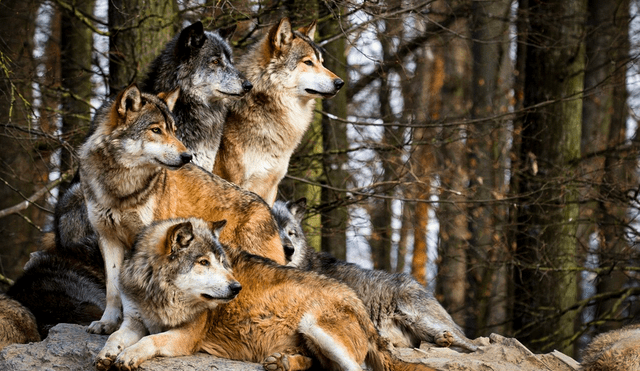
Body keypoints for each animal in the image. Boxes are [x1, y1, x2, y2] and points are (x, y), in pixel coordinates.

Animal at [81, 85, 286, 338]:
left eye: (174, 131)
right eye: (156, 130)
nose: (188, 156)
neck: (122, 188)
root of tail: (267, 208)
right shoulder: (108, 238)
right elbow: (113, 288)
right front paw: (107, 323)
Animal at [95, 218, 438, 371]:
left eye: (223, 262)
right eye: (203, 263)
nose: (236, 288)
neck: (158, 294)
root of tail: (360, 304)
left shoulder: (187, 336)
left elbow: (151, 341)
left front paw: (129, 356)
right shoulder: (134, 320)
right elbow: (116, 336)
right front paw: (108, 354)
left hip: (315, 325)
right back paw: (282, 362)